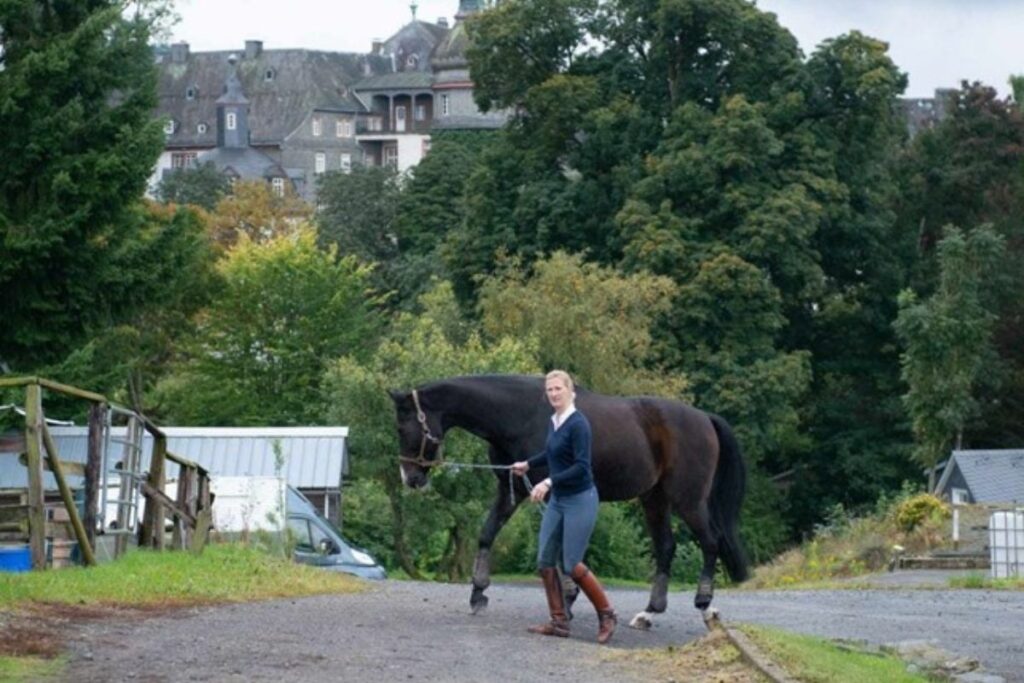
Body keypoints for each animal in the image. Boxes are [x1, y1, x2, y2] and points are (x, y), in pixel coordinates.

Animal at [387, 376, 749, 626]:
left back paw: (705, 604)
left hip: (688, 500)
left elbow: (558, 547)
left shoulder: (550, 492)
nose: (410, 478)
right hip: (654, 500)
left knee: (710, 542)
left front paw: (568, 599)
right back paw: (649, 613)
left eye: (404, 428)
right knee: (666, 548)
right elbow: (487, 534)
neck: (521, 414)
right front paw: (478, 593)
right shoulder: (511, 489)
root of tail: (704, 418)